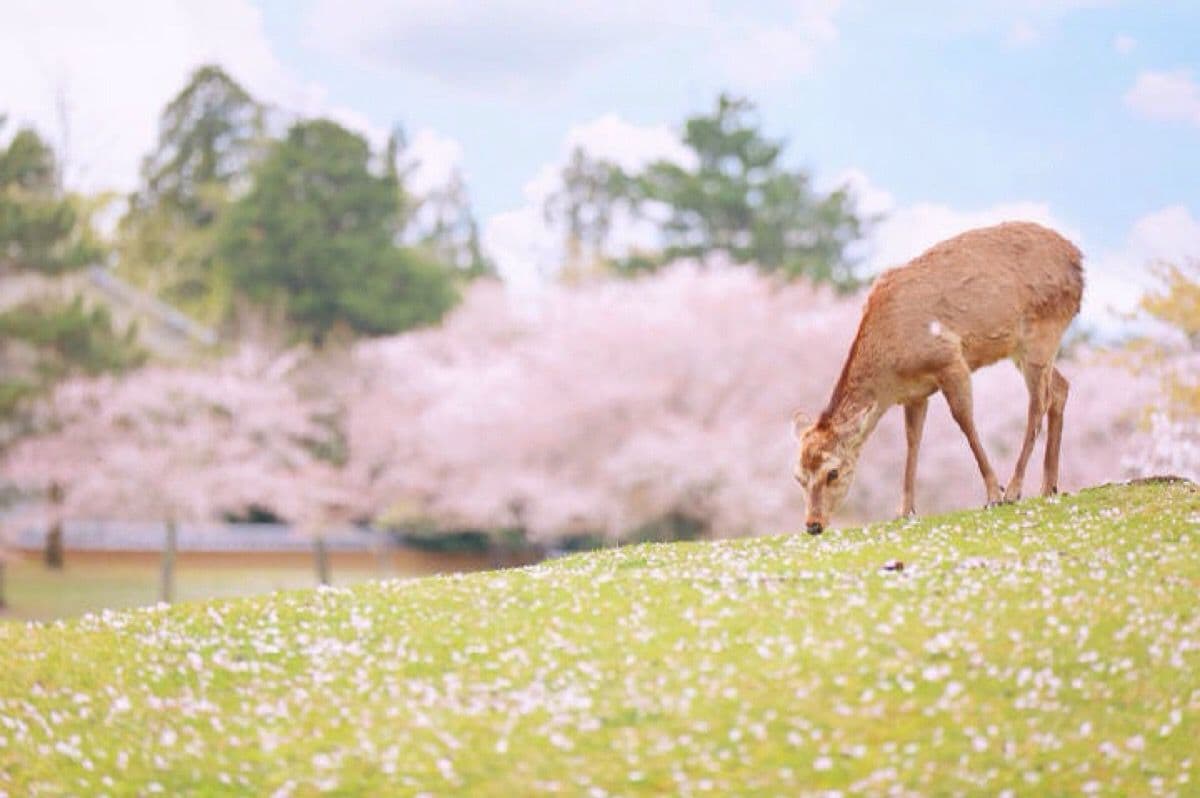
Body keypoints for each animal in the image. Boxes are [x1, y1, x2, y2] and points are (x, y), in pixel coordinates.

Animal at [792, 221, 1084, 535]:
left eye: (833, 472)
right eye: (798, 476)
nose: (813, 525)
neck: (890, 374)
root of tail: (1078, 261)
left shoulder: (950, 360)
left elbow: (965, 421)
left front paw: (993, 493)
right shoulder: (914, 394)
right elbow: (913, 441)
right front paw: (904, 510)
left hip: (1042, 332)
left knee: (1038, 403)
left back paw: (1015, 489)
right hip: (1025, 348)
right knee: (1061, 388)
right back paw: (1048, 486)